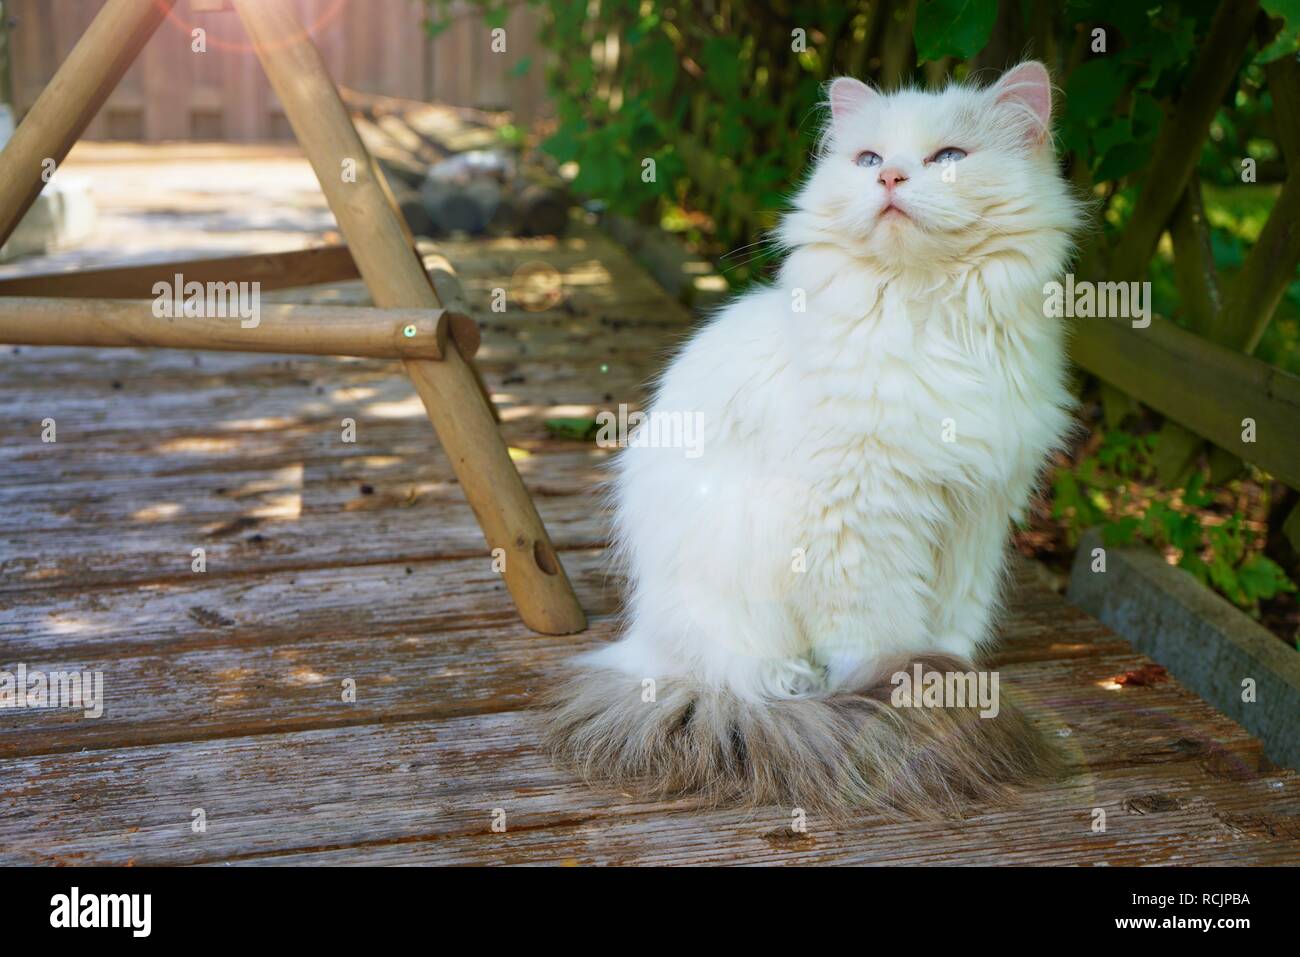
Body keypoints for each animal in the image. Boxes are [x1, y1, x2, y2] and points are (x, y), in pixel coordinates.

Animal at [543, 61, 1081, 816]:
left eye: (948, 157)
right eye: (869, 161)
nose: (891, 179)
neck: (931, 315)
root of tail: (650, 655)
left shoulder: (974, 515)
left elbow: (951, 627)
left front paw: (947, 679)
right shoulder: (858, 520)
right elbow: (878, 642)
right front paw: (894, 692)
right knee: (762, 675)